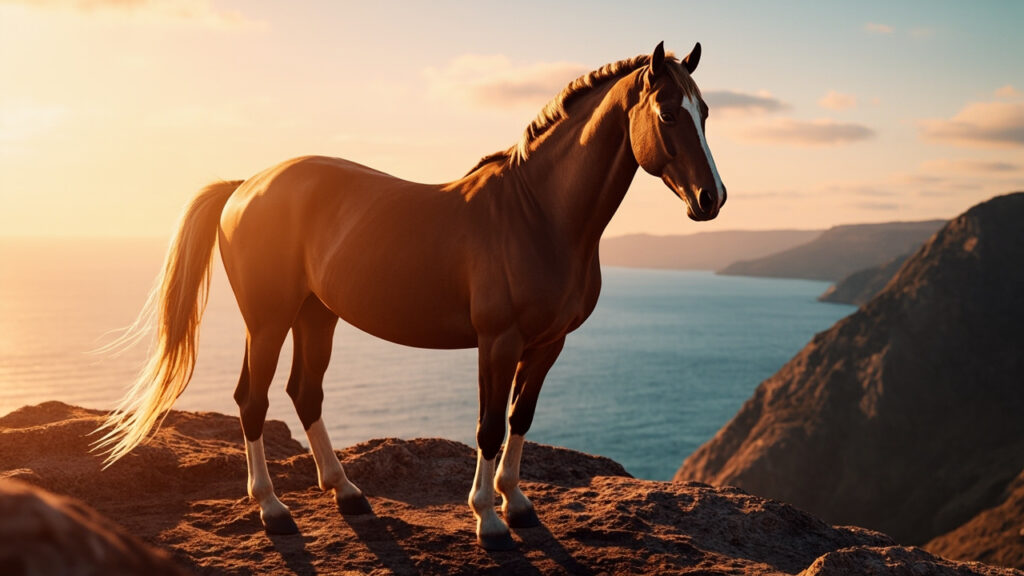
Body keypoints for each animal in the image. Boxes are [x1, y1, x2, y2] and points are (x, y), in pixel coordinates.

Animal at [96, 41, 726, 550]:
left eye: (706, 113)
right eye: (669, 112)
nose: (712, 198)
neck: (538, 215)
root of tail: (244, 186)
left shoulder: (548, 345)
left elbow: (520, 417)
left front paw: (518, 505)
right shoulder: (498, 342)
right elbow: (488, 426)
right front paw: (487, 521)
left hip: (316, 315)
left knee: (305, 392)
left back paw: (347, 493)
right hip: (268, 320)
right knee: (253, 400)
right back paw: (273, 510)